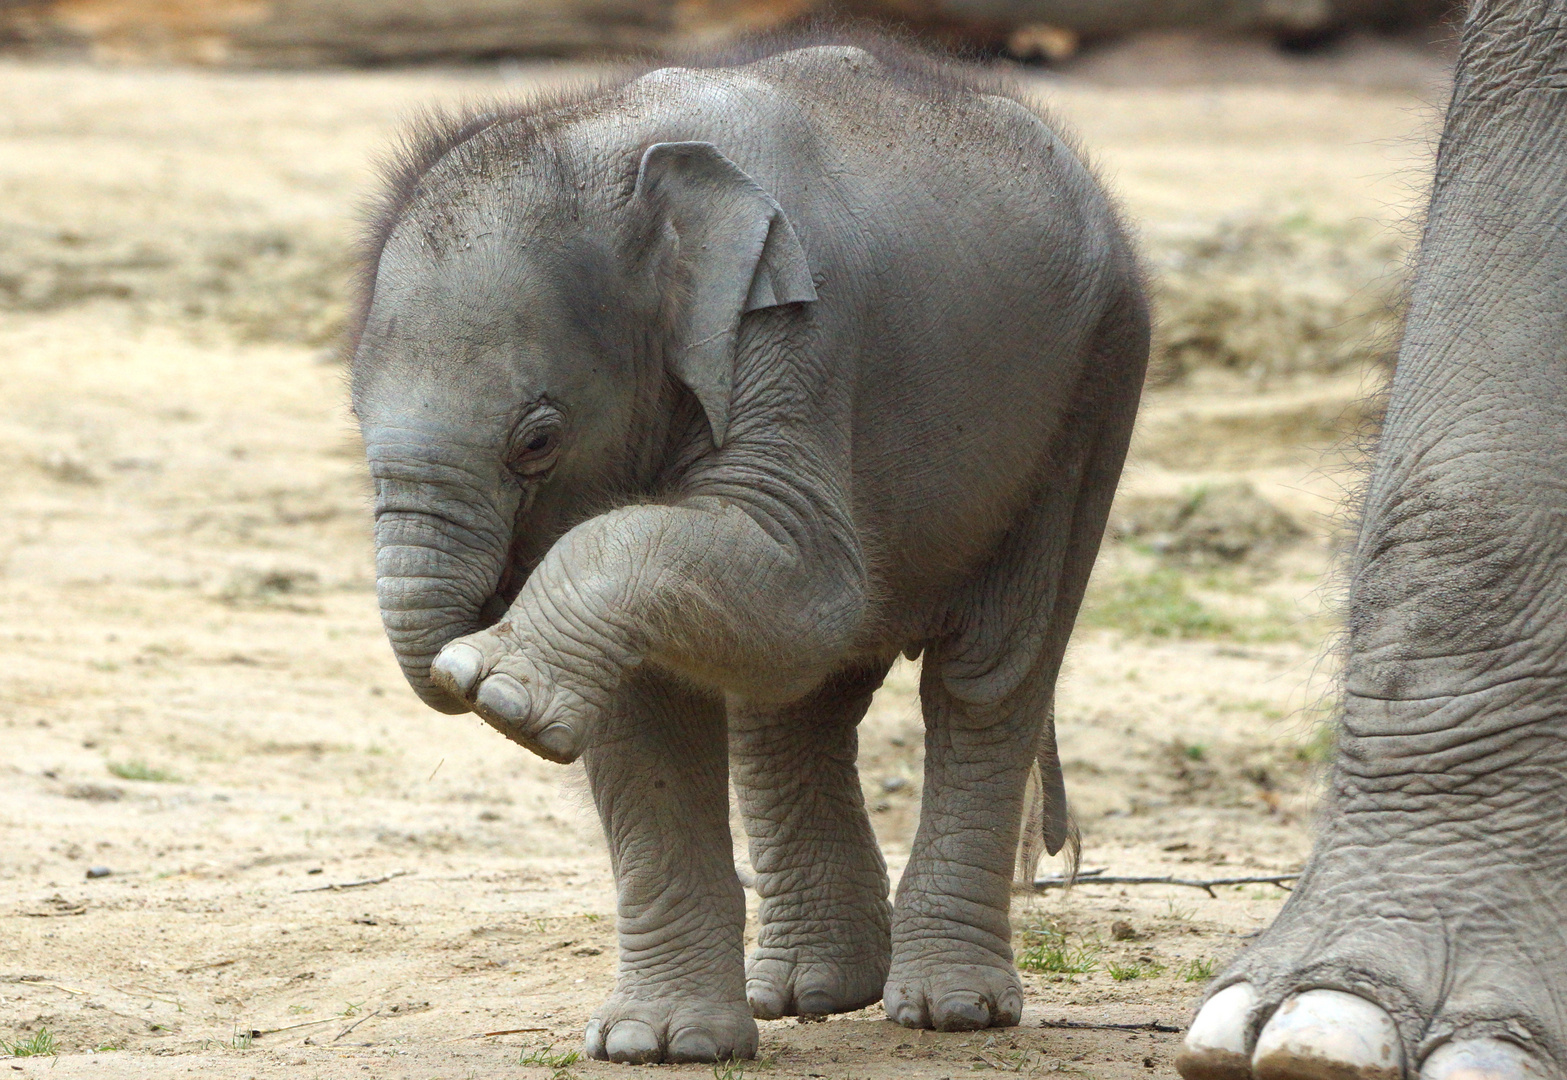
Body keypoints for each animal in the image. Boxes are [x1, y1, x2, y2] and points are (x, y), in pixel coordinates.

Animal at [352, 35, 1140, 1059]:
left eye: (536, 440)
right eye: (354, 420)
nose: (459, 653)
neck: (604, 142)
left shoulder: (796, 334)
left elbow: (816, 586)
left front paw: (503, 696)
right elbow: (651, 704)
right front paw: (655, 1047)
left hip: (1093, 388)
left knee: (986, 676)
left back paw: (947, 1012)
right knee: (793, 699)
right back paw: (812, 993)